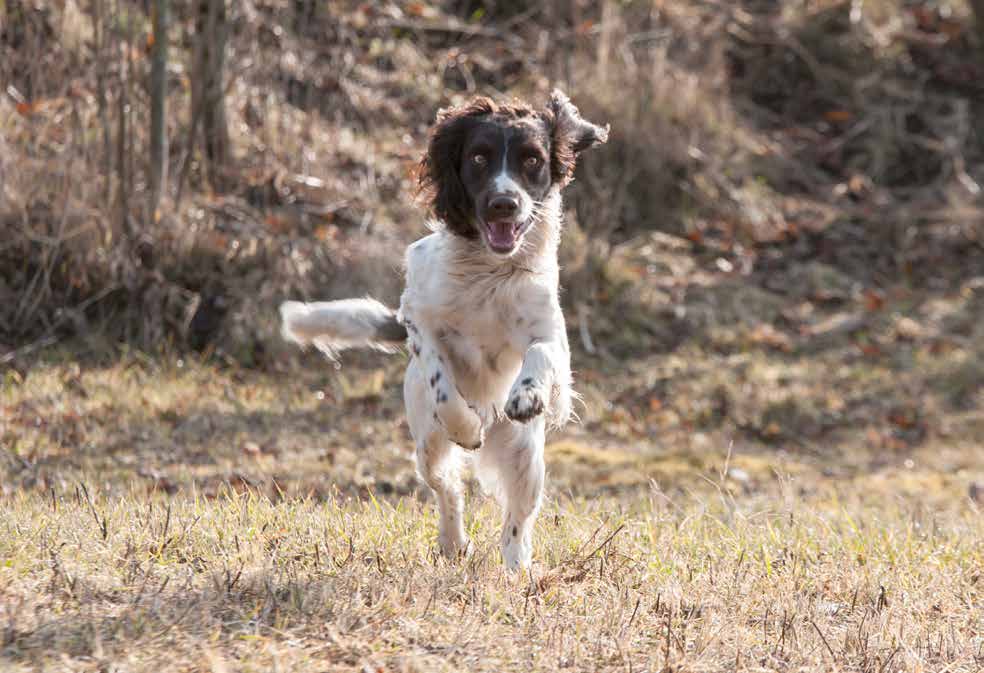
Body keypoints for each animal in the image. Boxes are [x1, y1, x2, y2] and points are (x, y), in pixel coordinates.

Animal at [276, 89, 612, 568]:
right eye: (478, 157)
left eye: (532, 159)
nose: (503, 203)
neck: (489, 271)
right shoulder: (418, 317)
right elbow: (441, 380)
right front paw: (467, 427)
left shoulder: (552, 337)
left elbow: (540, 354)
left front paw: (526, 394)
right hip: (427, 446)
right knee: (447, 488)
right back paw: (454, 541)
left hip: (526, 457)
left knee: (517, 521)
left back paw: (518, 571)